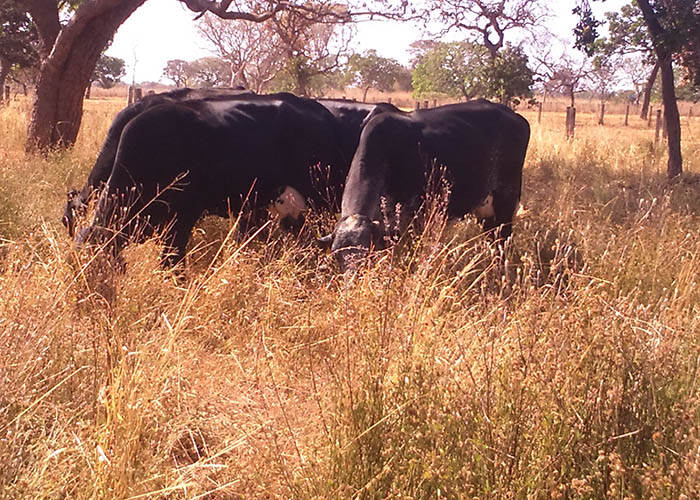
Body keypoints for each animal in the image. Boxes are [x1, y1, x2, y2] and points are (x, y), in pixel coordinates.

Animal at [318, 98, 532, 270]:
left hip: (505, 200)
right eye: (337, 256)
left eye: (367, 255)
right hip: (485, 209)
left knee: (503, 240)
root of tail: (515, 116)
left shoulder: (417, 220)